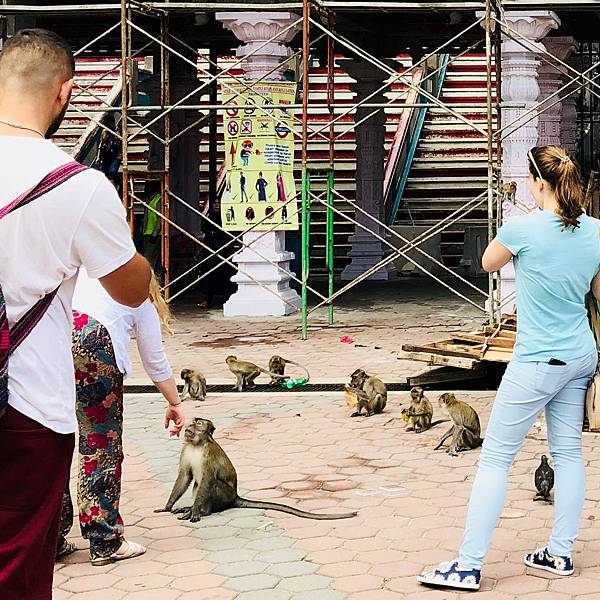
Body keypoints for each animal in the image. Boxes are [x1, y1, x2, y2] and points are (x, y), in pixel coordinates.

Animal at [155, 418, 357, 522]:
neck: (197, 444)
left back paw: (203, 510)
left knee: (213, 484)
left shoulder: (208, 455)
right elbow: (185, 476)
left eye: (198, 424)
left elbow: (208, 479)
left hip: (225, 496)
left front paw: (196, 511)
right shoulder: (186, 450)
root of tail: (236, 497)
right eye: (192, 422)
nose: (188, 427)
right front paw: (168, 506)